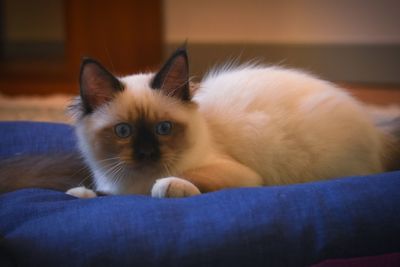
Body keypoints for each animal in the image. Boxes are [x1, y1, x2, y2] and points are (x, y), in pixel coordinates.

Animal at [0, 47, 398, 199]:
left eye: (163, 129)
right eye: (123, 131)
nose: (147, 153)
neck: (132, 184)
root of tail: (378, 133)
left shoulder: (240, 175)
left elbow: (179, 180)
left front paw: (167, 186)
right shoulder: (112, 186)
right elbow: (96, 193)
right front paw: (80, 193)